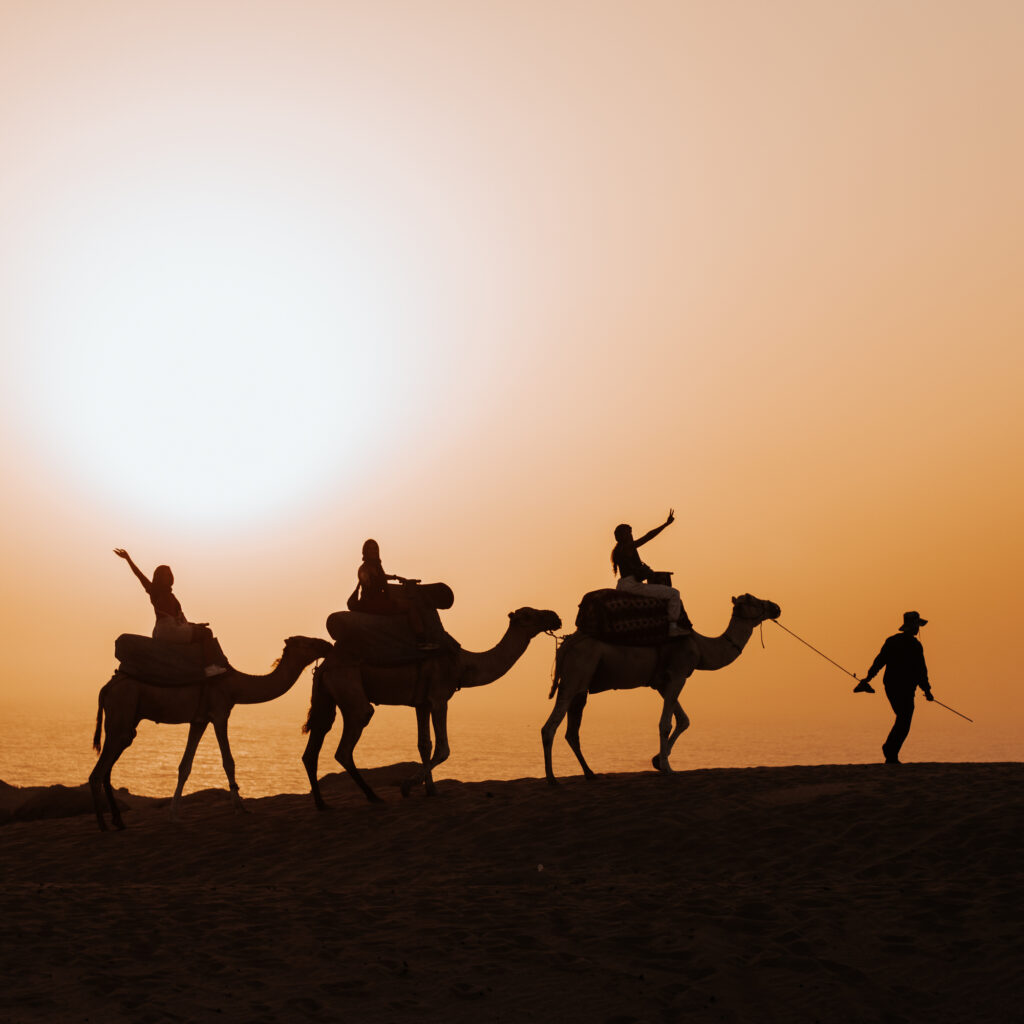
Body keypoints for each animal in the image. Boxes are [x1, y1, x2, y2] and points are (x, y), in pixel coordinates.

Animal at [90, 634, 332, 830]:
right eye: (307, 642)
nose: (327, 644)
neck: (236, 685)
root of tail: (107, 687)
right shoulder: (220, 713)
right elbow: (228, 761)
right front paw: (240, 808)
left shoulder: (199, 720)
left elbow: (185, 766)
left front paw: (174, 815)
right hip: (121, 711)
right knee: (98, 771)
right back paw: (102, 825)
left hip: (127, 721)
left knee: (109, 765)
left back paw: (118, 821)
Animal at [301, 606, 562, 805]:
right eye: (528, 615)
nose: (555, 617)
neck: (463, 664)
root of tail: (325, 665)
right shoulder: (439, 698)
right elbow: (443, 748)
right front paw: (408, 786)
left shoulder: (422, 703)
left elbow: (424, 744)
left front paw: (431, 790)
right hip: (349, 686)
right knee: (348, 742)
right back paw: (373, 797)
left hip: (326, 696)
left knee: (314, 743)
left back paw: (322, 804)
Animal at [541, 593, 781, 783]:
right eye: (752, 599)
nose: (776, 607)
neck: (701, 648)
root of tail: (565, 646)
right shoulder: (678, 674)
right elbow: (665, 723)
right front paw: (667, 768)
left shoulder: (661, 683)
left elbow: (683, 720)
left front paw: (657, 760)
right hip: (575, 675)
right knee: (550, 727)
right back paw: (553, 779)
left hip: (579, 684)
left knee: (571, 731)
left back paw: (589, 773)